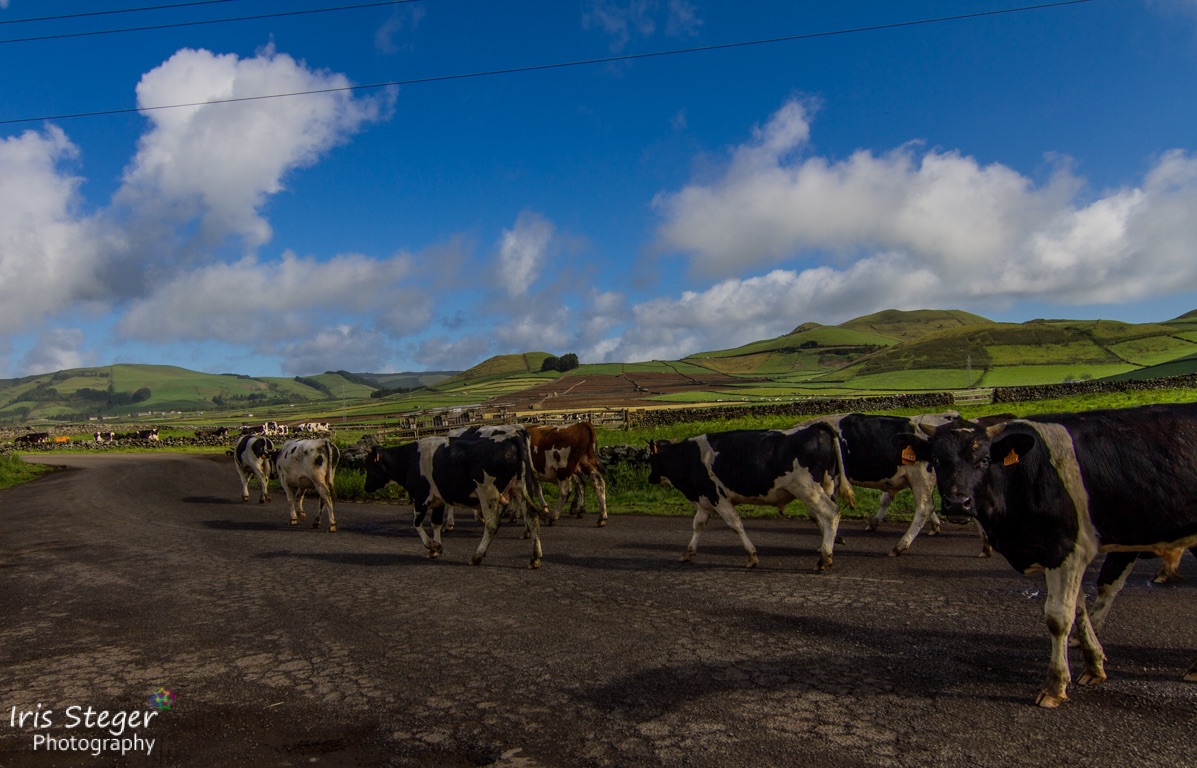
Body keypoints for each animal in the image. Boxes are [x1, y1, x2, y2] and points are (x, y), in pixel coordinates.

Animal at [363, 430, 548, 569]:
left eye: (369, 465)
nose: (366, 487)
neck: (409, 460)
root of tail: (512, 437)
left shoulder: (421, 498)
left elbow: (416, 524)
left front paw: (431, 545)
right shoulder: (437, 499)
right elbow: (436, 523)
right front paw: (436, 548)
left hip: (487, 492)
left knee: (492, 524)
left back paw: (476, 556)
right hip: (521, 487)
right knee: (532, 518)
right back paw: (535, 558)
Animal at [651, 421, 857, 571]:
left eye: (649, 457)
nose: (650, 477)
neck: (690, 457)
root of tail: (816, 427)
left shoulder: (718, 498)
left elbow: (735, 525)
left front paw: (751, 557)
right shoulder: (704, 500)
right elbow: (698, 525)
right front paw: (688, 552)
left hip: (807, 488)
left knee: (830, 513)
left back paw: (824, 559)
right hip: (826, 485)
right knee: (822, 517)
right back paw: (829, 546)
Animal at [900, 401, 1197, 708]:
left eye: (984, 460)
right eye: (936, 460)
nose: (958, 503)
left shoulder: (1067, 549)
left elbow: (1059, 617)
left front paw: (1054, 685)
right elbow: (1079, 609)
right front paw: (1094, 666)